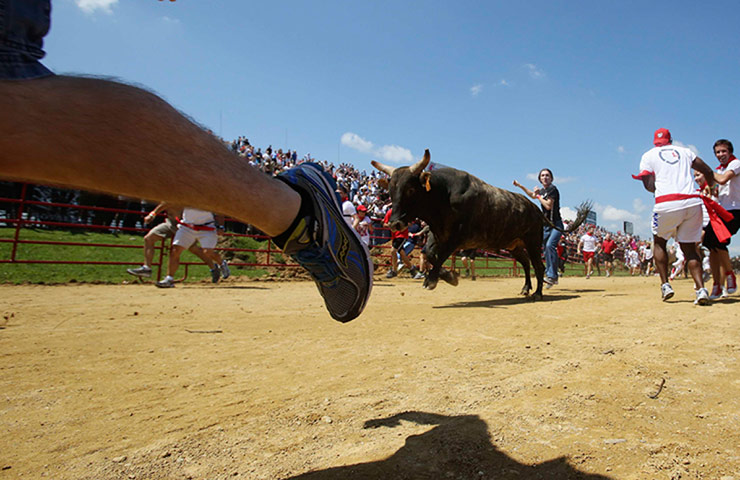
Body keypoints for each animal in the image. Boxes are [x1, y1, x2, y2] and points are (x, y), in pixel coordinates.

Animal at [372, 149, 591, 300]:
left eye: (410, 189)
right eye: (390, 190)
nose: (394, 223)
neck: (443, 195)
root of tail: (535, 209)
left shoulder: (458, 237)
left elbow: (441, 255)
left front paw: (432, 280)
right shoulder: (437, 233)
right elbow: (429, 254)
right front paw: (449, 276)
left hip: (533, 242)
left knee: (539, 265)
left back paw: (538, 293)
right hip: (514, 245)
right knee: (526, 263)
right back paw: (525, 288)